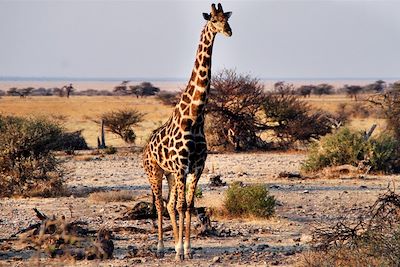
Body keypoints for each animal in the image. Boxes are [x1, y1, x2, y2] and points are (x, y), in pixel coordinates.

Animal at [143, 2, 231, 262]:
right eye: (213, 20)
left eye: (227, 19)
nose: (228, 31)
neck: (194, 119)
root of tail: (146, 147)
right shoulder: (182, 166)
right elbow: (182, 206)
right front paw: (181, 251)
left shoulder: (196, 167)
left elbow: (189, 206)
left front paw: (188, 249)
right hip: (155, 172)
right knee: (160, 204)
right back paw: (161, 247)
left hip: (170, 174)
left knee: (170, 204)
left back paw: (173, 246)